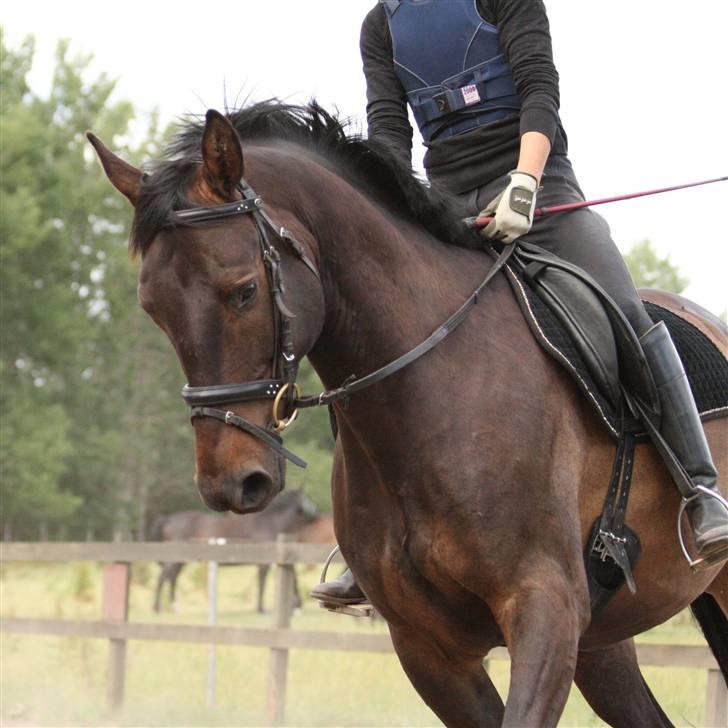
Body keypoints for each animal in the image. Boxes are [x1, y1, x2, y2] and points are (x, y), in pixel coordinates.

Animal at [149, 490, 318, 616]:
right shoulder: (263, 564)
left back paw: (174, 607)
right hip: (174, 560)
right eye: (306, 498)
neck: (269, 523)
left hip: (180, 561)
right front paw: (262, 609)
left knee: (172, 578)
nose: (316, 513)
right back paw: (157, 608)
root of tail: (168, 519)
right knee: (163, 577)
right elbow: (263, 584)